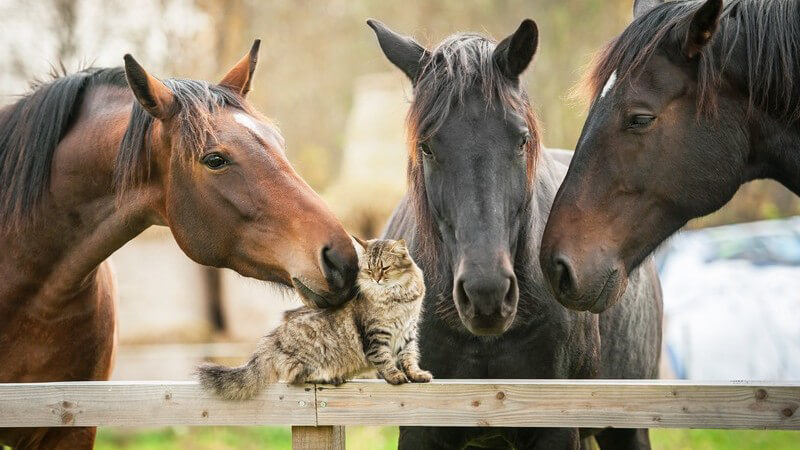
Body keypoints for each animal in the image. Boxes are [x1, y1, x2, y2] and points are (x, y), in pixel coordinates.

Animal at [197, 237, 432, 400]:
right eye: (368, 270)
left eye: (384, 268)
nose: (376, 279)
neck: (399, 298)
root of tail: (272, 341)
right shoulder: (376, 336)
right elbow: (385, 360)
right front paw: (396, 377)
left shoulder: (408, 333)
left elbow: (410, 358)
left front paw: (417, 375)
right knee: (294, 377)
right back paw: (330, 376)